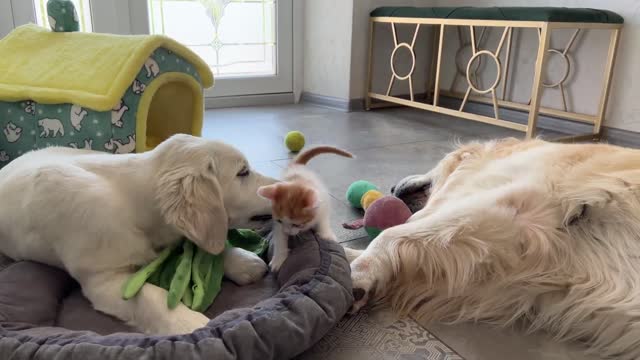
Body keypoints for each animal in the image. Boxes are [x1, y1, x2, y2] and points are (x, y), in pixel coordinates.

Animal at [0, 135, 274, 334]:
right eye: (242, 172)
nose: (280, 185)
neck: (132, 205)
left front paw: (242, 261)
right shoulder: (103, 279)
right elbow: (151, 295)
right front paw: (191, 323)